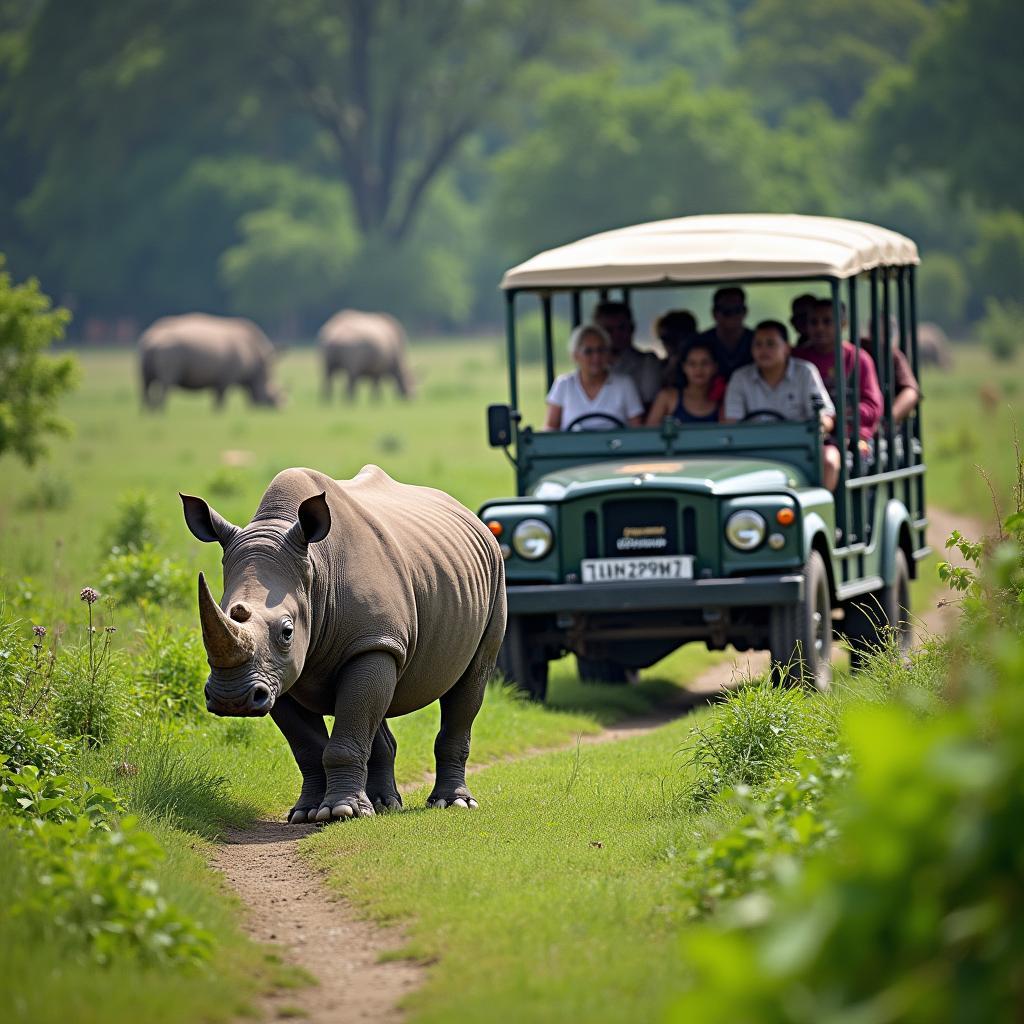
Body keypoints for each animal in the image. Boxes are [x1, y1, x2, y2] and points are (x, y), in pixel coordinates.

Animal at [138, 311, 284, 407]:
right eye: (271, 395)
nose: (281, 406)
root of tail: (152, 338)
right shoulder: (227, 376)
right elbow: (221, 397)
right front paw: (219, 413)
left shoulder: (221, 377)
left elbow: (218, 395)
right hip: (170, 351)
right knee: (166, 382)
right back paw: (160, 411)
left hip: (146, 351)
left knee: (145, 383)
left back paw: (149, 412)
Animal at [183, 468, 507, 819]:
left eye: (287, 632)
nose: (232, 699)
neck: (315, 571)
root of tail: (472, 517)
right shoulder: (275, 673)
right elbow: (309, 746)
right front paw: (306, 812)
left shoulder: (370, 641)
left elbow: (348, 729)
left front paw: (341, 812)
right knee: (378, 700)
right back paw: (383, 804)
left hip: (494, 574)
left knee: (471, 679)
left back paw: (453, 803)